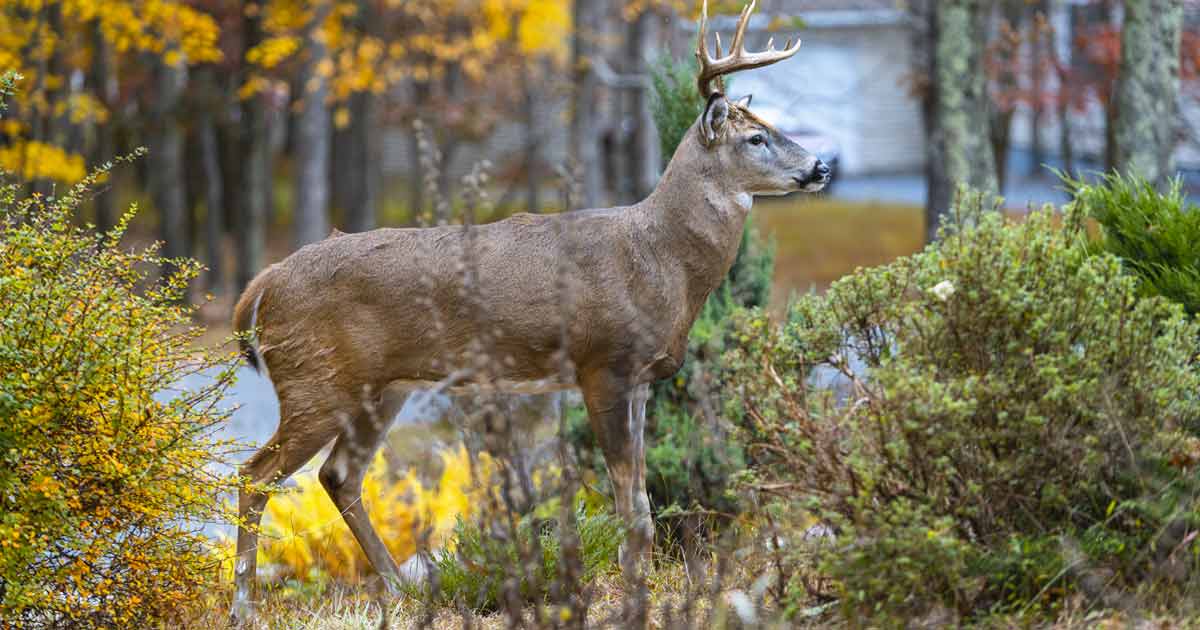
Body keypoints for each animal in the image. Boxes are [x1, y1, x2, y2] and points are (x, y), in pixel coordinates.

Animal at [228, 0, 828, 621]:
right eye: (756, 137)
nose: (821, 167)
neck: (660, 259)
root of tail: (264, 283)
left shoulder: (641, 380)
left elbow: (639, 503)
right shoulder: (603, 365)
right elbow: (629, 507)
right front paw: (630, 601)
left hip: (382, 388)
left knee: (339, 474)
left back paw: (401, 590)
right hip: (316, 380)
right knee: (254, 476)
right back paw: (244, 607)